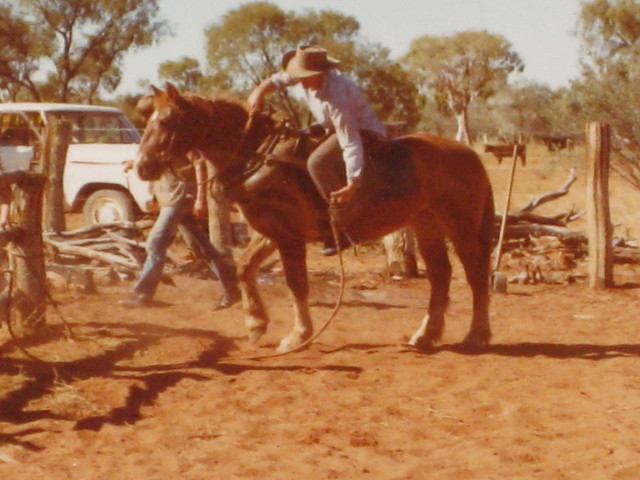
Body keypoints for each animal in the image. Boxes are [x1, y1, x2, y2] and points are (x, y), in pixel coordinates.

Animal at [134, 83, 496, 352]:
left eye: (166, 122)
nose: (142, 167)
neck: (259, 157)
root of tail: (469, 154)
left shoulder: (289, 237)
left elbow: (297, 284)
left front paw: (298, 335)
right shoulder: (271, 232)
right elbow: (245, 267)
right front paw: (255, 323)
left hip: (461, 226)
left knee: (476, 276)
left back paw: (476, 335)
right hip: (426, 225)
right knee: (440, 275)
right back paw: (425, 335)